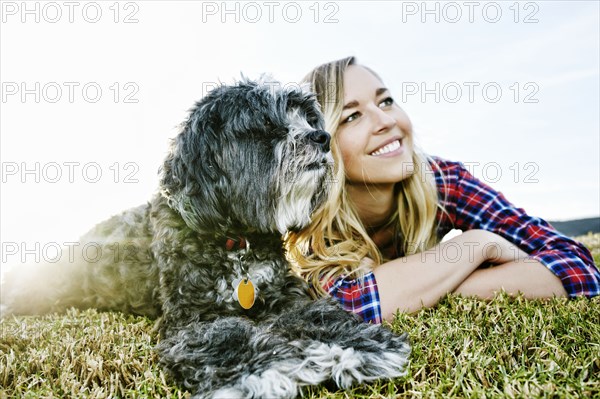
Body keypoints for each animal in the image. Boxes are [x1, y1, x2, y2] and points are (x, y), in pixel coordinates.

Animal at [0, 79, 410, 398]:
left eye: (307, 118)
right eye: (264, 126)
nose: (322, 137)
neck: (236, 240)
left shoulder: (287, 296)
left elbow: (321, 315)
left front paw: (358, 347)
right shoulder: (191, 317)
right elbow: (227, 335)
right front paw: (265, 371)